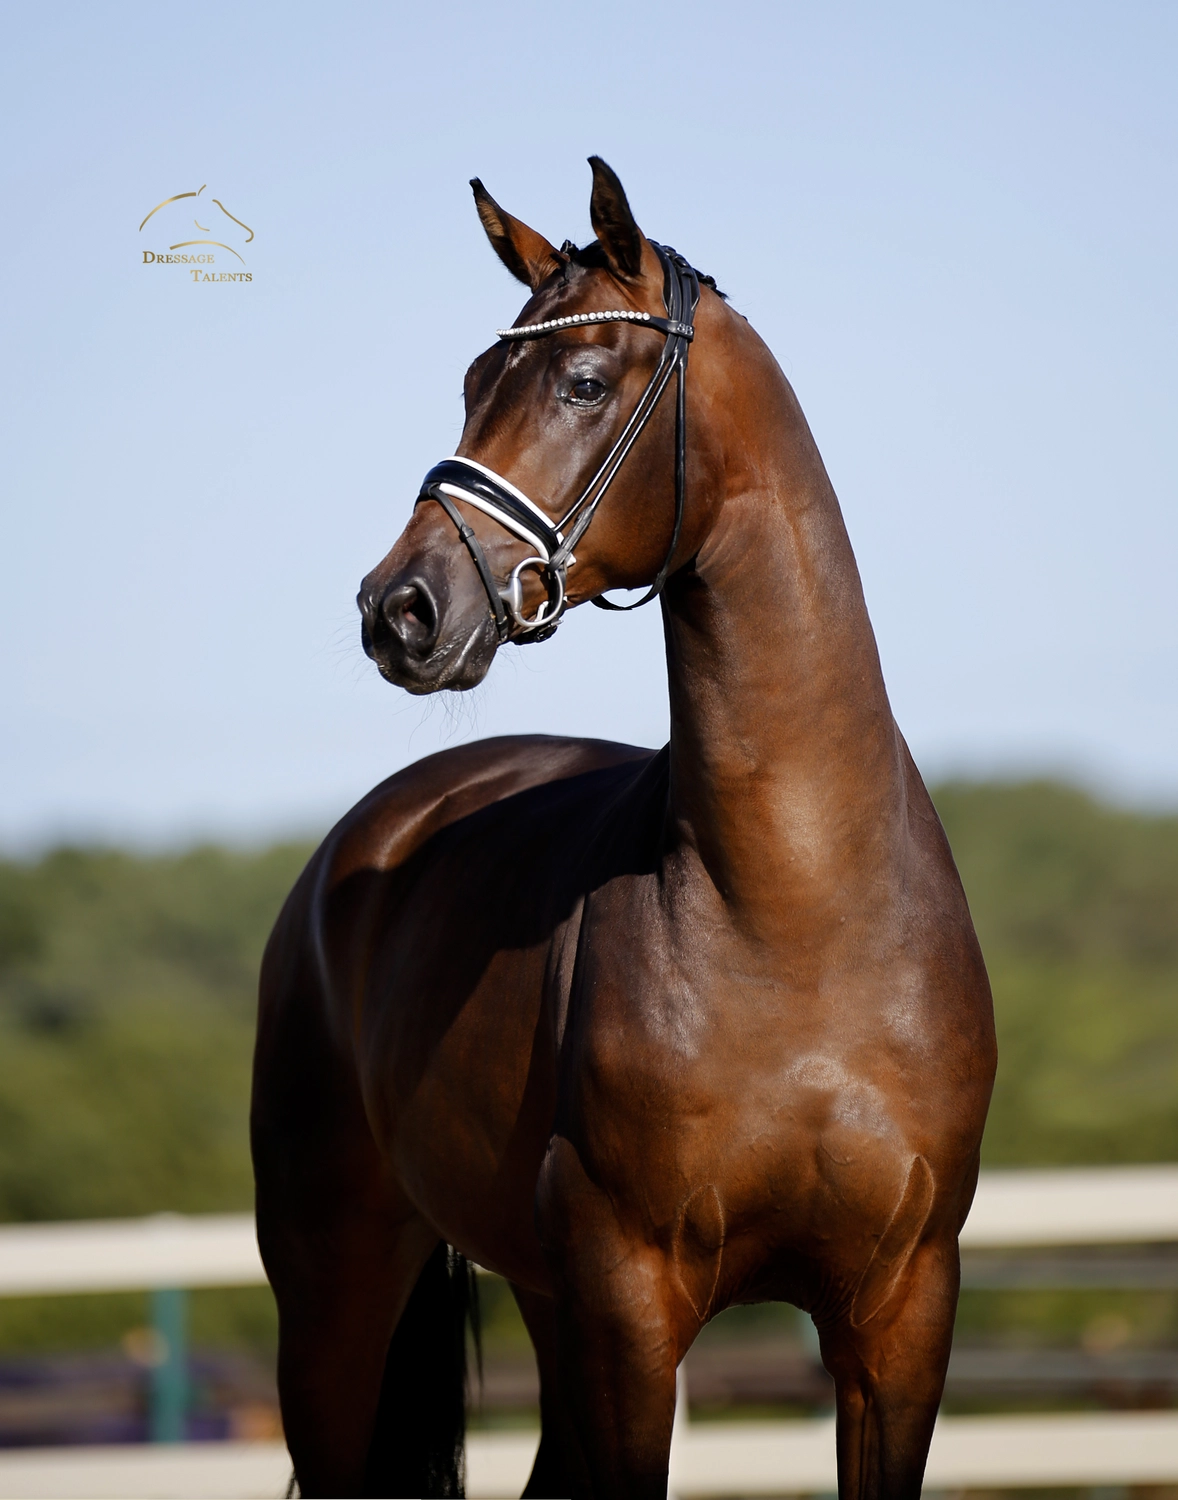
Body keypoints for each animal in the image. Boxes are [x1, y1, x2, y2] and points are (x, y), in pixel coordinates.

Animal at [251, 157, 996, 1500]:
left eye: (586, 382)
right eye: (472, 383)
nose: (400, 608)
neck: (796, 907)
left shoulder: (900, 1312)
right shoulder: (631, 1304)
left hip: (542, 1305)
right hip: (337, 1289)